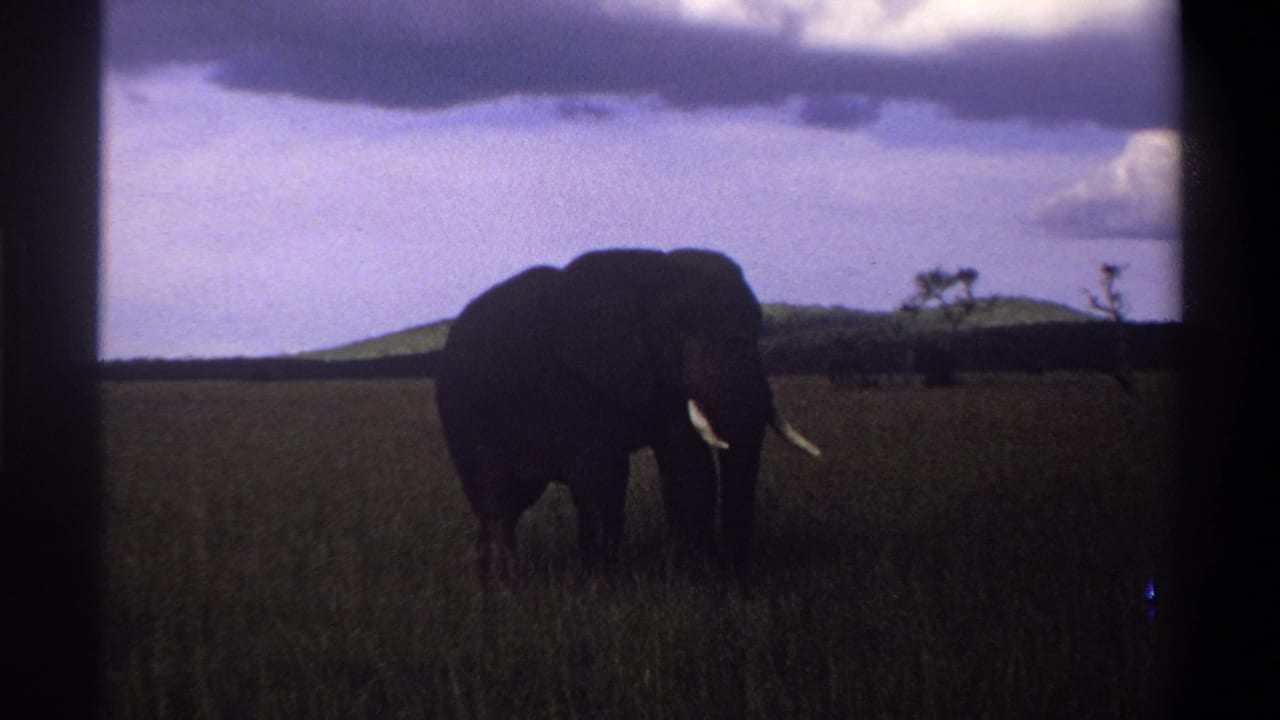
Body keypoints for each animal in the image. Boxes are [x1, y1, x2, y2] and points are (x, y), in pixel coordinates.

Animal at [435, 248, 820, 579]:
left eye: (757, 330)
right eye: (681, 330)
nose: (735, 570)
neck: (648, 273)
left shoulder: (666, 383)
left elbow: (688, 468)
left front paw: (697, 577)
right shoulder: (575, 383)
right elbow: (602, 478)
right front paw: (601, 586)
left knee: (511, 502)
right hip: (464, 418)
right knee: (496, 503)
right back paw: (507, 586)